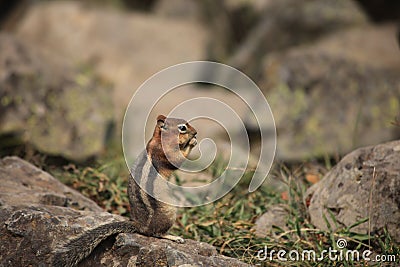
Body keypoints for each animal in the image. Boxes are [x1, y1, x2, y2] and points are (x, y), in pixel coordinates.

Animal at [53, 115, 197, 267]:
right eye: (182, 128)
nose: (196, 132)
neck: (158, 140)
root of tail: (140, 226)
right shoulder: (165, 153)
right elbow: (177, 159)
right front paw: (192, 142)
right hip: (169, 212)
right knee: (156, 234)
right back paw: (174, 237)